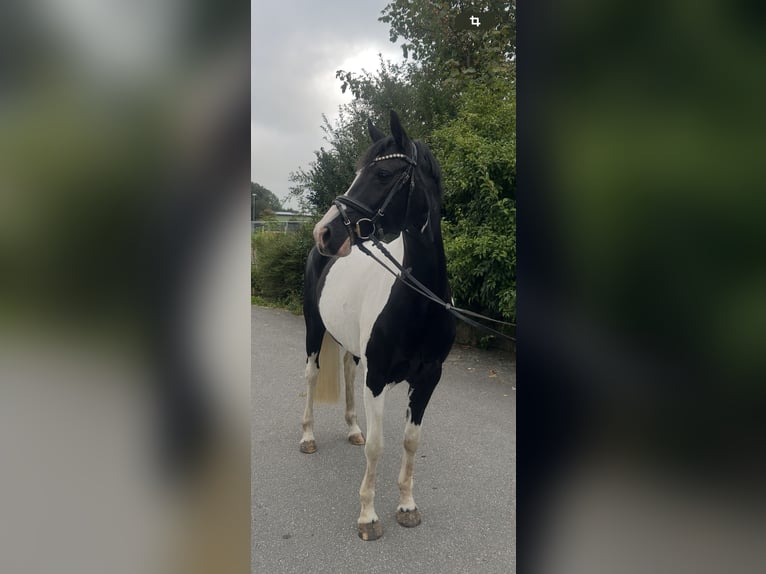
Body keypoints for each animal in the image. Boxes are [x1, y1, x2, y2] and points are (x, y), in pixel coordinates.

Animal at [300, 110, 456, 544]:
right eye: (357, 172)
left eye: (383, 174)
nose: (326, 232)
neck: (419, 299)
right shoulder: (380, 376)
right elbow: (377, 446)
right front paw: (368, 517)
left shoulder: (429, 377)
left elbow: (409, 441)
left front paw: (406, 506)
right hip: (313, 329)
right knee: (311, 375)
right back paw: (308, 438)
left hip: (352, 347)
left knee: (348, 372)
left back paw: (352, 428)